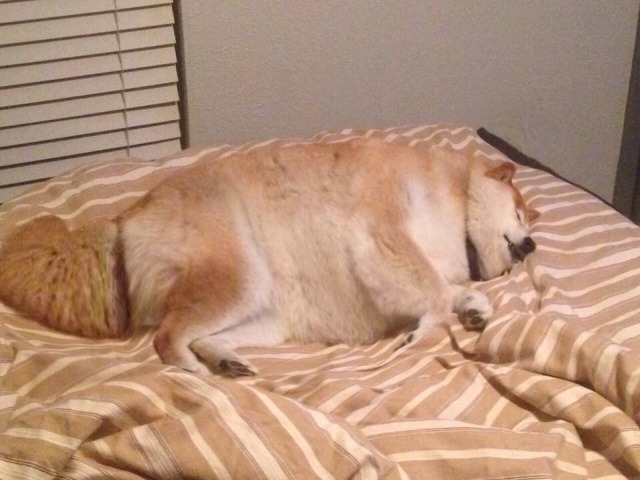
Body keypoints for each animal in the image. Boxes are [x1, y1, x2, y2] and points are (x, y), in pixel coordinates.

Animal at [0, 139, 538, 377]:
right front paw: (433, 323)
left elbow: (441, 292)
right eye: (519, 211)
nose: (531, 245)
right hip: (239, 278)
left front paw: (469, 309)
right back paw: (198, 375)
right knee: (166, 338)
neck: (453, 198)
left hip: (266, 313)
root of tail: (126, 217)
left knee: (197, 334)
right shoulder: (386, 235)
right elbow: (435, 292)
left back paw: (225, 360)